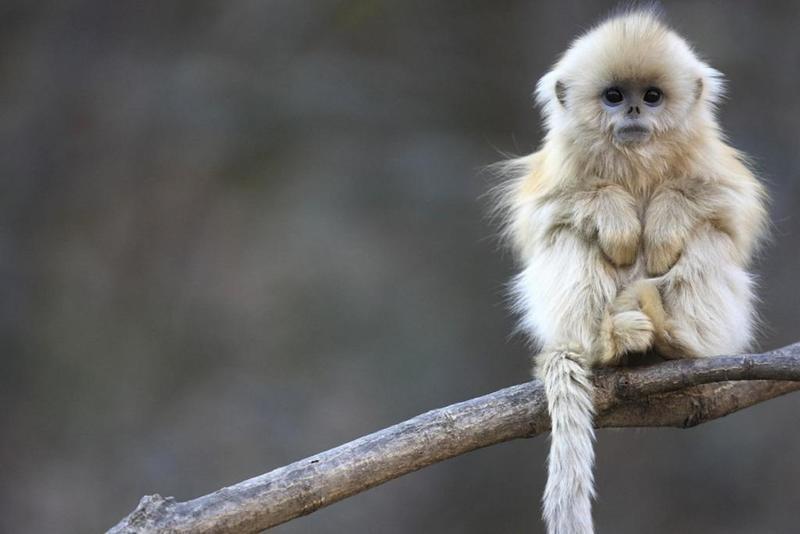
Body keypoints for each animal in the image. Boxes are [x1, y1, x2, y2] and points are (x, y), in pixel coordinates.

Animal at [494, 8, 768, 534]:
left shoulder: (712, 162)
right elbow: (545, 216)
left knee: (708, 239)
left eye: (653, 96)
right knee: (570, 237)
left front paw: (662, 223)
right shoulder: (557, 171)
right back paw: (609, 342)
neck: (636, 160)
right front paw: (618, 219)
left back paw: (675, 339)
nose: (636, 112)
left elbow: (728, 209)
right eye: (615, 96)